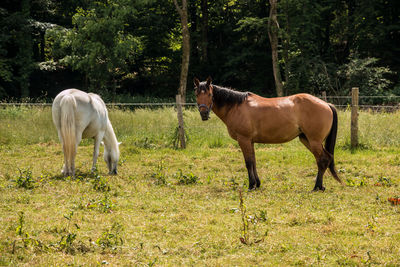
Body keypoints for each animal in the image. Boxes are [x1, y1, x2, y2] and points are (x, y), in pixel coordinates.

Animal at [195, 76, 344, 192]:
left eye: (209, 95)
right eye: (197, 94)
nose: (204, 114)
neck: (236, 106)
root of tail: (326, 104)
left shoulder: (244, 140)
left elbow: (248, 163)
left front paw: (251, 185)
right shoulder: (250, 141)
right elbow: (253, 162)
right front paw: (257, 184)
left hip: (314, 141)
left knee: (322, 160)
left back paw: (317, 187)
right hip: (306, 139)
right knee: (326, 158)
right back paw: (320, 186)